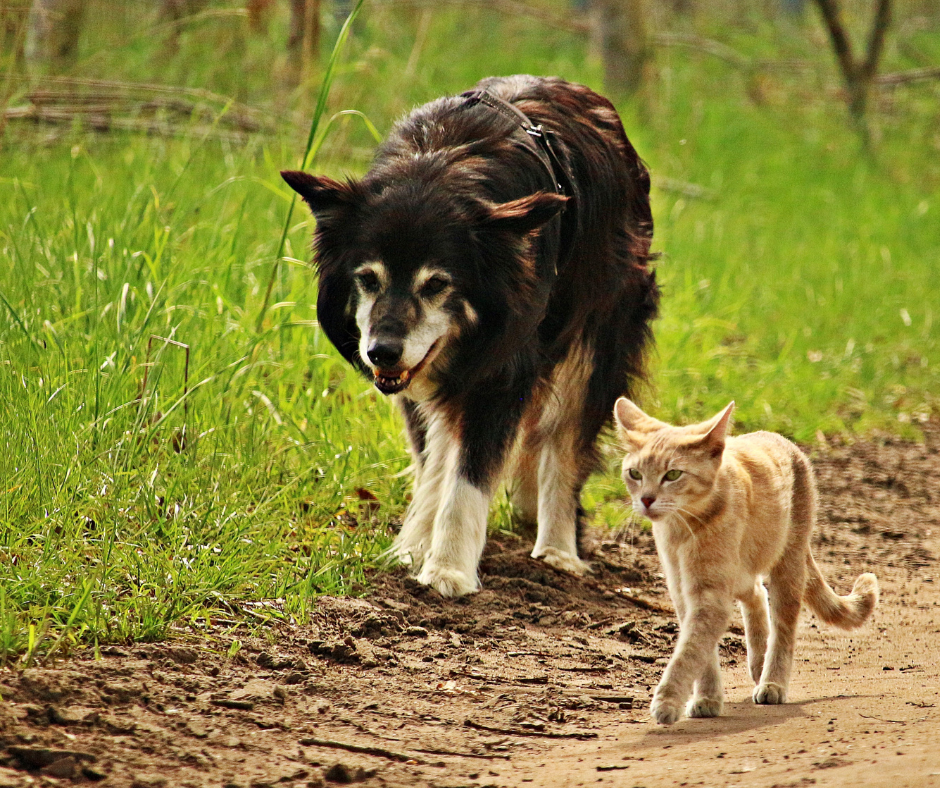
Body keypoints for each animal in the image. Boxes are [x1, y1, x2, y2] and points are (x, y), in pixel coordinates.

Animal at [282, 77, 656, 600]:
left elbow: (469, 476)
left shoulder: (500, 371)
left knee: (564, 444)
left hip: (596, 341)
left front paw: (449, 569)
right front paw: (414, 548)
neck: (440, 164)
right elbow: (435, 464)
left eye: (437, 283)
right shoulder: (422, 377)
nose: (381, 353)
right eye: (368, 279)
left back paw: (558, 550)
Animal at [612, 400, 876, 728]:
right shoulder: (683, 591)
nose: (646, 499)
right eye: (634, 473)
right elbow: (701, 651)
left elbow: (689, 651)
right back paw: (758, 662)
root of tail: (779, 438)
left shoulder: (709, 595)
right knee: (756, 593)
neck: (681, 529)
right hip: (741, 573)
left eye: (672, 474)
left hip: (787, 567)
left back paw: (772, 681)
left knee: (782, 627)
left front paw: (668, 700)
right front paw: (707, 698)